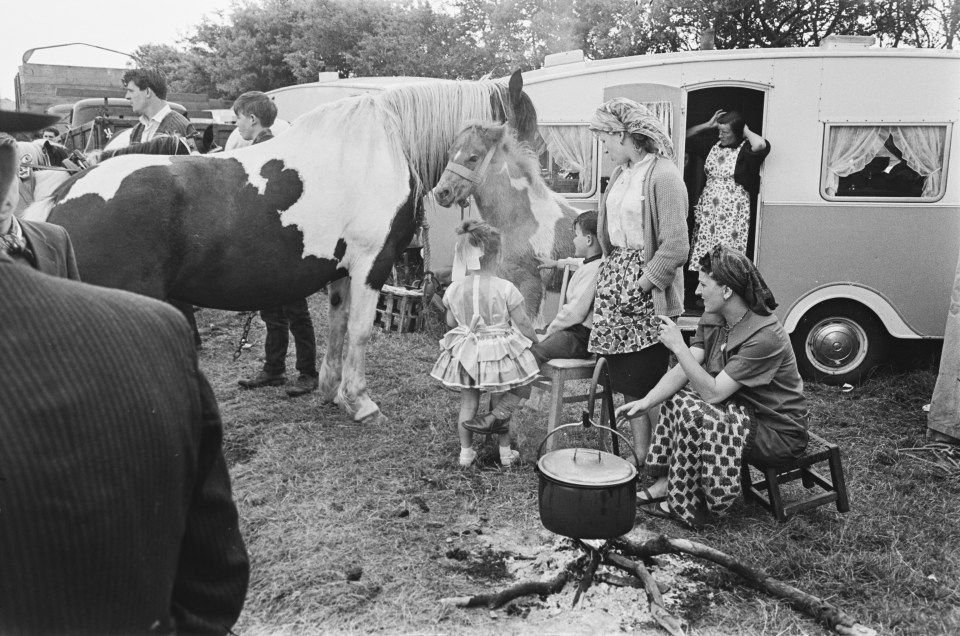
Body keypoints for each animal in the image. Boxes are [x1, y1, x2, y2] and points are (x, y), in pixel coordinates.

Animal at [26, 72, 540, 422]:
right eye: (526, 128)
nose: (543, 175)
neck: (383, 148)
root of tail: (61, 199)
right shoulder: (371, 266)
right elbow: (360, 332)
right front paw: (360, 401)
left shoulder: (340, 272)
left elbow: (336, 328)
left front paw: (331, 392)